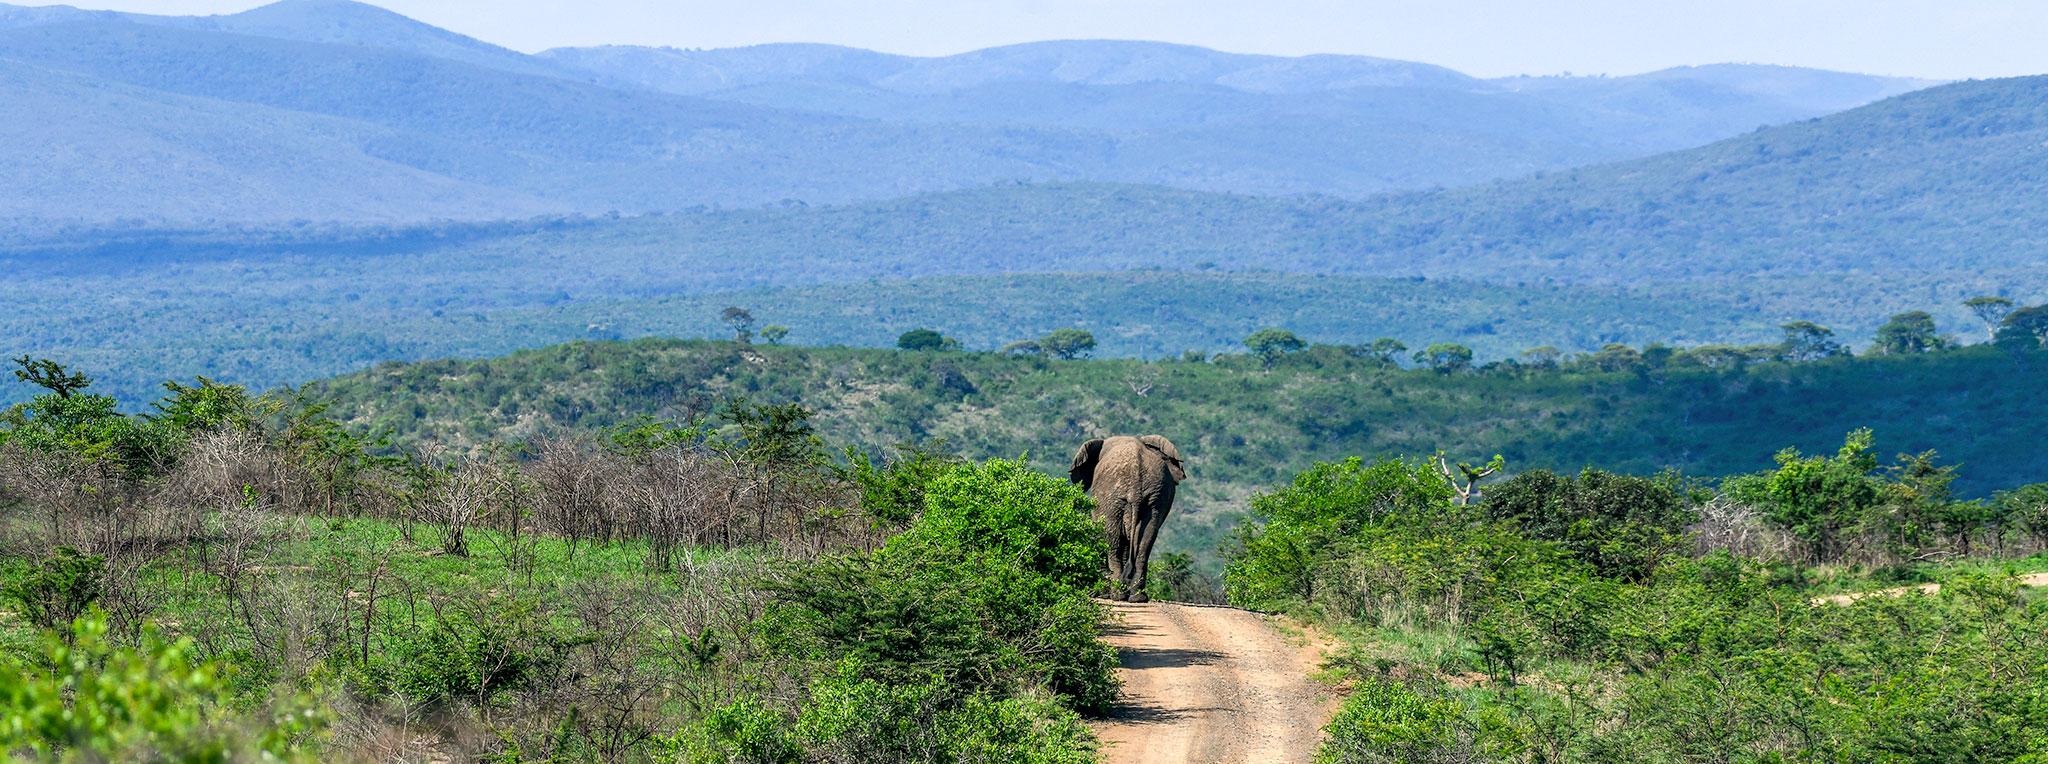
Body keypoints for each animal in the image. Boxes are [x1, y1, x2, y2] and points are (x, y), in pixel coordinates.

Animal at [1070, 435, 1186, 602]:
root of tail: (1135, 488)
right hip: (1155, 498)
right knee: (1146, 540)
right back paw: (1138, 597)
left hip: (1111, 498)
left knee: (1112, 539)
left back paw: (1117, 596)